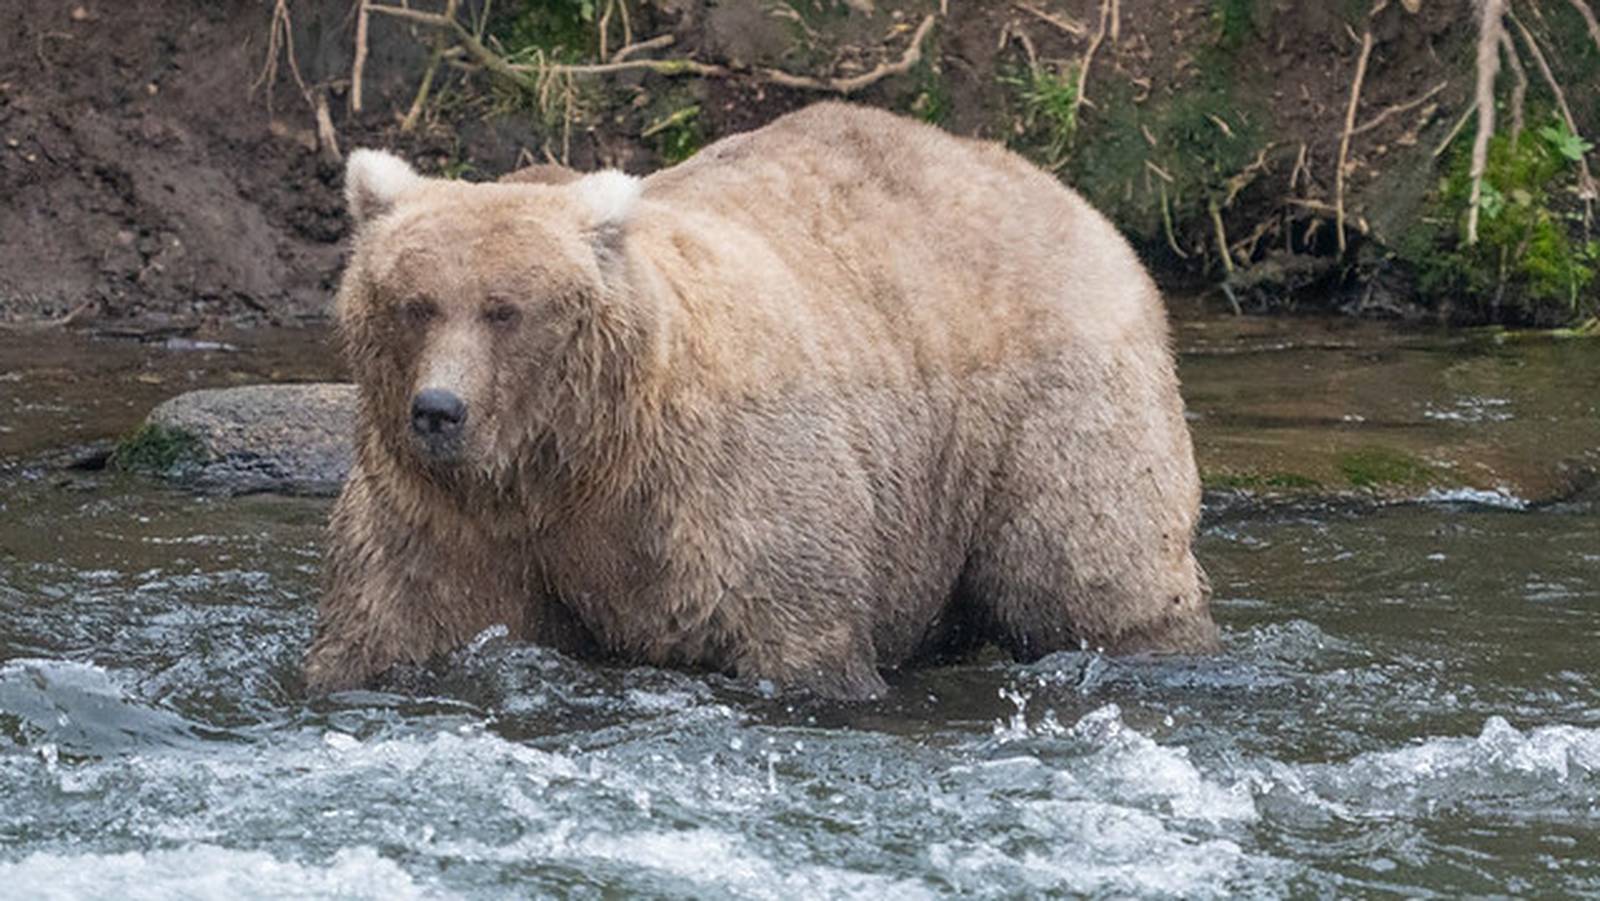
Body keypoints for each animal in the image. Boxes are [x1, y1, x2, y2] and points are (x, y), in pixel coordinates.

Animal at [302, 104, 1222, 697]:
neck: (573, 457)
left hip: (1051, 404)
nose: (439, 409)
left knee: (1092, 569)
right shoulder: (448, 514)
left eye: (505, 308)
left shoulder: (719, 487)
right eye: (414, 302)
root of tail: (1065, 193)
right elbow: (396, 621)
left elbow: (794, 628)